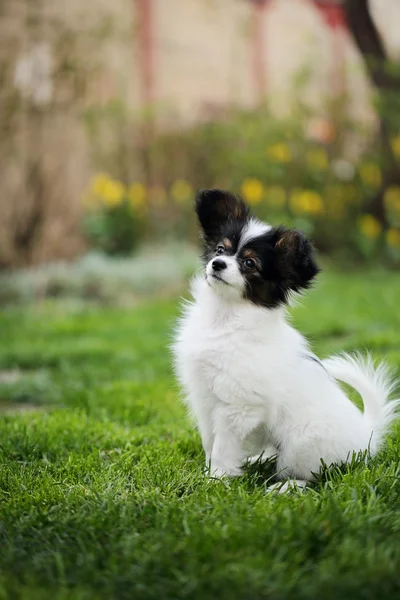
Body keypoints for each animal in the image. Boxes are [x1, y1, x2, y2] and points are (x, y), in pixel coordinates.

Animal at [173, 190, 400, 490]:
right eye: (220, 250)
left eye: (249, 263)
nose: (217, 264)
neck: (225, 316)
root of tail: (367, 436)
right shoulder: (204, 400)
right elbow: (210, 443)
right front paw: (208, 474)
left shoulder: (237, 408)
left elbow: (222, 449)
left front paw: (215, 480)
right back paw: (256, 461)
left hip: (301, 445)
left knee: (317, 475)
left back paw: (285, 487)